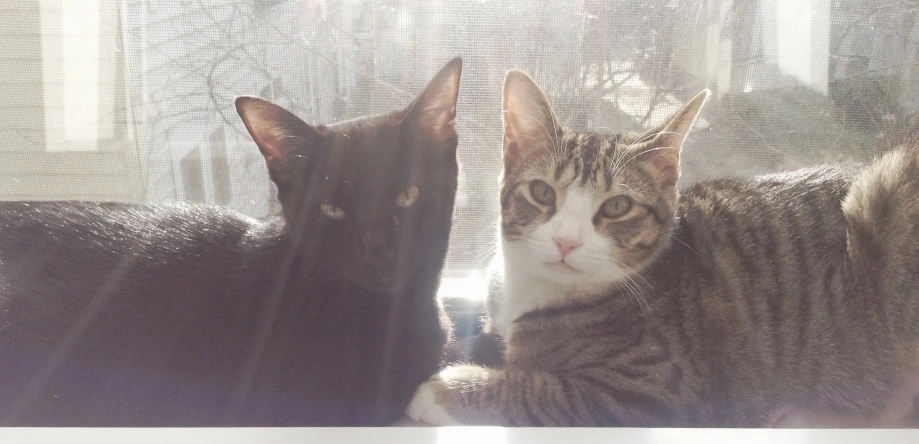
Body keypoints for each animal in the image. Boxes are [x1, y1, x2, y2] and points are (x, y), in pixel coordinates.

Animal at [406, 68, 919, 426]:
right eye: (542, 192)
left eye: (616, 206)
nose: (567, 240)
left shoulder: (659, 390)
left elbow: (547, 390)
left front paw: (446, 390)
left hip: (887, 195)